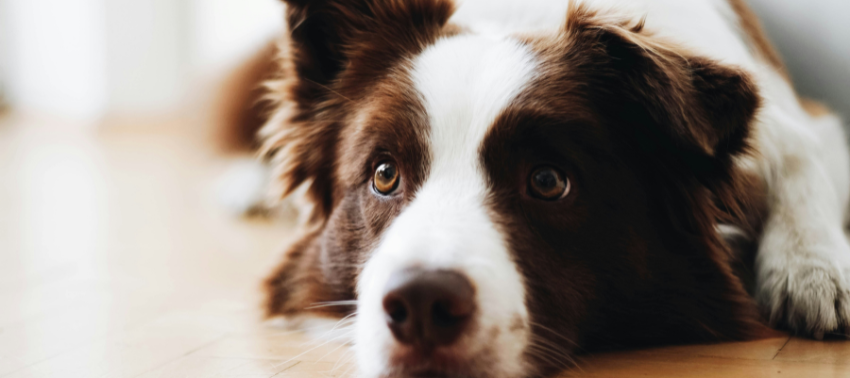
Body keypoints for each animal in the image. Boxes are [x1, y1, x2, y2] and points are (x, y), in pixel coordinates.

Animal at [219, 0, 848, 376]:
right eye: (383, 175)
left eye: (548, 181)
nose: (421, 304)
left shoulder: (802, 122)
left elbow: (806, 160)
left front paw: (814, 268)